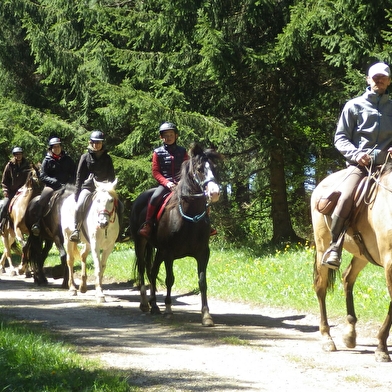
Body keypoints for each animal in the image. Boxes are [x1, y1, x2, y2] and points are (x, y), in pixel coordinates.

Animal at [129, 142, 219, 326]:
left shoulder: (203, 253)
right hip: (140, 243)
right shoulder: (169, 253)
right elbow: (170, 279)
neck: (190, 217)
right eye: (199, 169)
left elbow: (202, 282)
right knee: (142, 270)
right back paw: (145, 304)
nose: (214, 193)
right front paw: (169, 310)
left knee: (152, 272)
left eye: (214, 168)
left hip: (158, 251)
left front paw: (206, 315)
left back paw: (155, 305)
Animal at [310, 162, 392, 362]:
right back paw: (327, 338)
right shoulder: (390, 261)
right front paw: (381, 348)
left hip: (362, 255)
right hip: (323, 248)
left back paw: (350, 334)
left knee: (347, 278)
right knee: (321, 288)